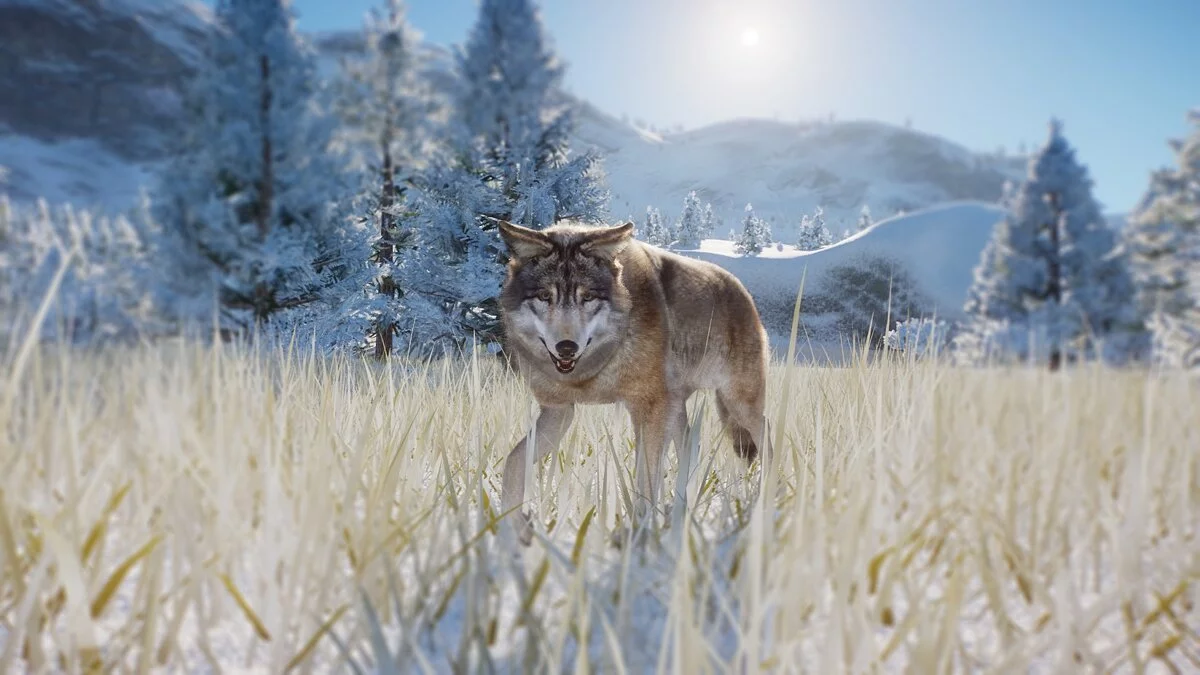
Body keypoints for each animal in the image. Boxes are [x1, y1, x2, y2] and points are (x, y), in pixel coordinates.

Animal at [496, 219, 770, 544]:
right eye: (544, 297)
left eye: (588, 297)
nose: (566, 347)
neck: (591, 374)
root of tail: (739, 287)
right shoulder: (559, 411)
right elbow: (513, 461)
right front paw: (514, 527)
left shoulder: (647, 410)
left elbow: (645, 479)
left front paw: (640, 537)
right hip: (676, 409)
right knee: (691, 449)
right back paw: (682, 511)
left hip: (736, 404)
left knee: (766, 435)